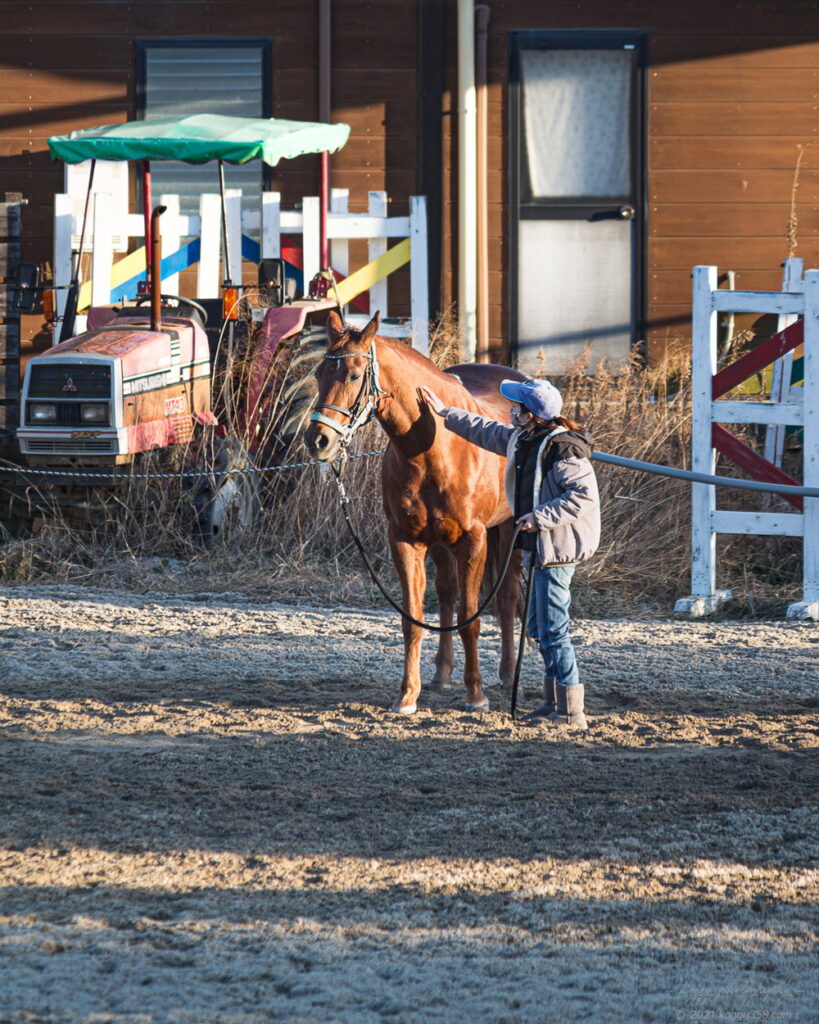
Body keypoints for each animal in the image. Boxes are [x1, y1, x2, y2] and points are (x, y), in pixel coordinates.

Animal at [304, 311, 524, 715]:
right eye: (318, 374)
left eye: (354, 375)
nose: (318, 440)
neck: (434, 448)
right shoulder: (405, 541)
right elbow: (414, 620)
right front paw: (407, 695)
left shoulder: (474, 542)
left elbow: (471, 621)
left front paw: (476, 695)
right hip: (440, 544)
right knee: (448, 593)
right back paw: (441, 674)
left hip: (512, 531)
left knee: (506, 598)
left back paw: (504, 672)